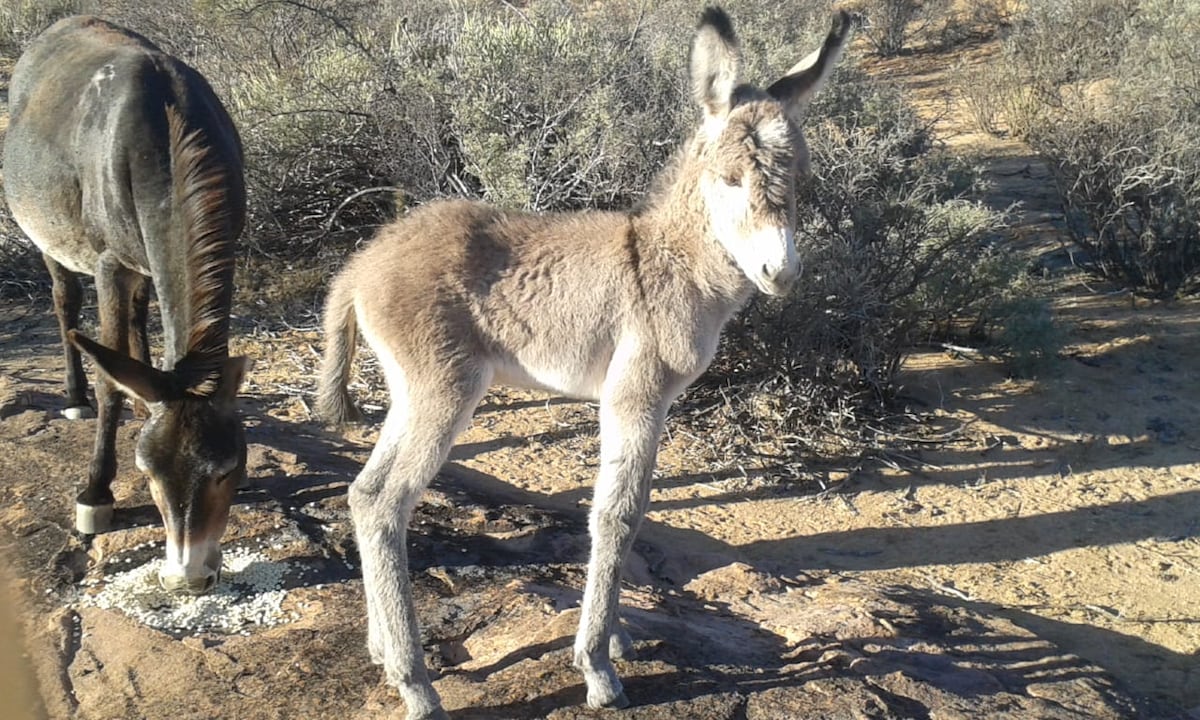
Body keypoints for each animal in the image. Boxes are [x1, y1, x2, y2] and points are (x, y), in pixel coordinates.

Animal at [3, 16, 251, 595]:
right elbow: (106, 379)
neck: (166, 134)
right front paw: (95, 493)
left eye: (226, 470)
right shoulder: (109, 263)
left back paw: (144, 394)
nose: (188, 577)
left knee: (140, 314)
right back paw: (75, 395)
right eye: (149, 473)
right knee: (65, 303)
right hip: (51, 237)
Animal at [317, 7, 853, 717]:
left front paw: (617, 636)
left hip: (411, 393)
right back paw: (416, 684)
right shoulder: (635, 395)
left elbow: (634, 509)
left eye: (800, 180)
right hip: (447, 390)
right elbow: (616, 515)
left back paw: (382, 652)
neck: (669, 261)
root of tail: (359, 265)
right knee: (386, 505)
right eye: (730, 178)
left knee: (362, 492)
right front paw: (596, 665)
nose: (781, 273)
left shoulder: (652, 404)